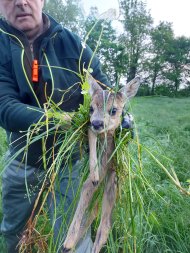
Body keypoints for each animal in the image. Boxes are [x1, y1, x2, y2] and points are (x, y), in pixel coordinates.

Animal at [62, 75, 140, 253]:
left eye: (113, 110)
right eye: (90, 108)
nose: (98, 123)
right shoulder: (90, 127)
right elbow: (91, 139)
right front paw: (94, 174)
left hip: (112, 187)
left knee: (103, 226)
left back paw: (70, 244)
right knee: (91, 211)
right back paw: (69, 243)